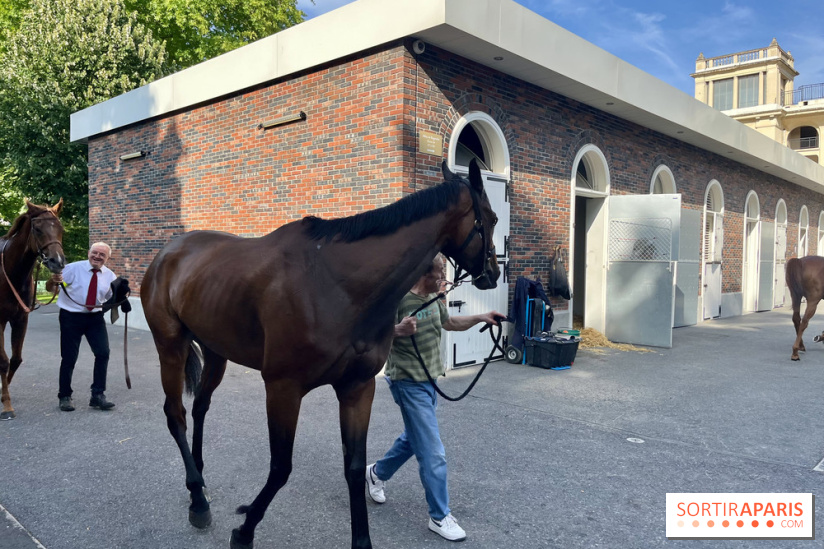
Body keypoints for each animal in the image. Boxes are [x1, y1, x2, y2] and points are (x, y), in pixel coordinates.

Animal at [0, 200, 65, 419]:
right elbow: (3, 361)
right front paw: (7, 406)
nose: (57, 262)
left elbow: (15, 359)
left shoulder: (20, 319)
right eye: (37, 229)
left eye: (61, 228)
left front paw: (3, 395)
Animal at [140, 160, 500, 549]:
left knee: (200, 408)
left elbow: (354, 468)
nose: (494, 274)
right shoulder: (283, 388)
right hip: (170, 346)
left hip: (216, 351)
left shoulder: (358, 388)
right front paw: (245, 528)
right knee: (175, 414)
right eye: (493, 218)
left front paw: (362, 541)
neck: (337, 285)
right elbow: (281, 467)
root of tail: (168, 253)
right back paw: (197, 500)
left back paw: (201, 482)